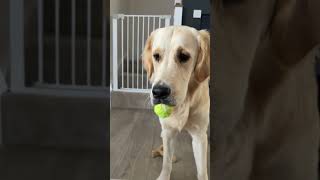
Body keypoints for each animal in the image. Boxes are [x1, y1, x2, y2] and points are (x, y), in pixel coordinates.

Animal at [142, 25, 210, 180]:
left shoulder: (200, 136)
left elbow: (202, 170)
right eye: (156, 56)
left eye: (184, 56)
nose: (159, 92)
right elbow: (166, 162)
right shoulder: (168, 132)